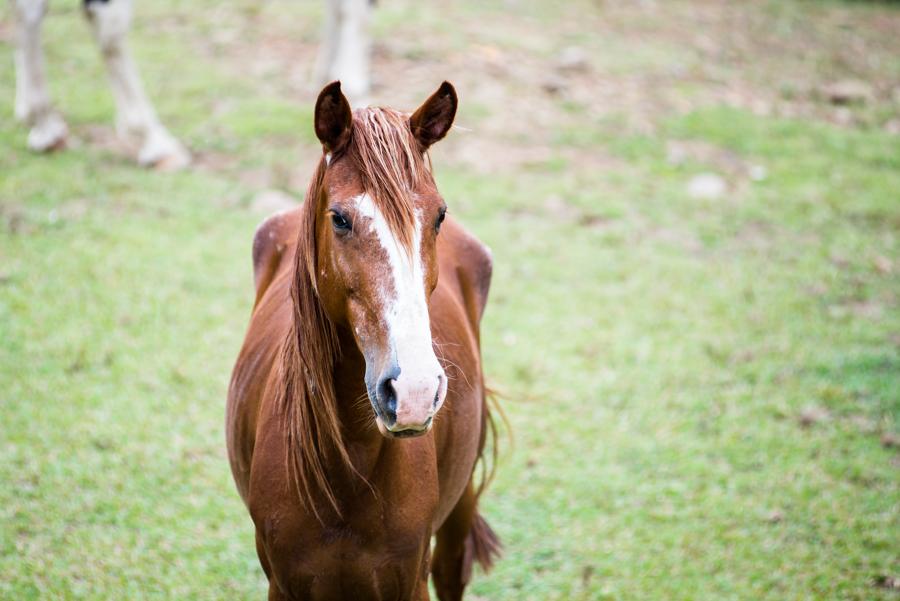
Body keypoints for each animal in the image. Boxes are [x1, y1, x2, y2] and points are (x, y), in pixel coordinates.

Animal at [225, 81, 502, 600]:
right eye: (339, 218)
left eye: (438, 216)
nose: (413, 392)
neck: (347, 471)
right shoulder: (283, 583)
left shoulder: (409, 581)